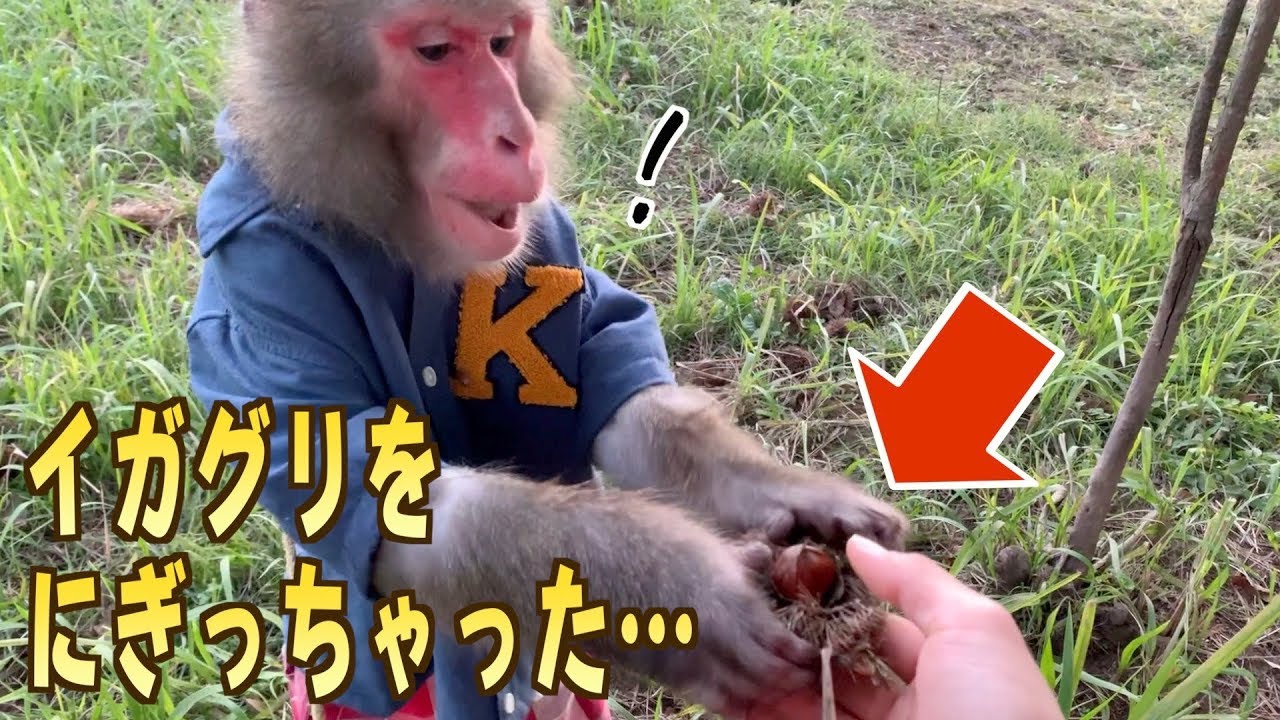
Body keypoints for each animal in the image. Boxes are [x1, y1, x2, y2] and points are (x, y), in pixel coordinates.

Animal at [186, 1, 909, 719]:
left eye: (503, 43)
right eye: (435, 52)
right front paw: (690, 590)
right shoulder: (261, 294)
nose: (518, 135)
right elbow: (393, 496)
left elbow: (612, 392)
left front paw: (779, 492)